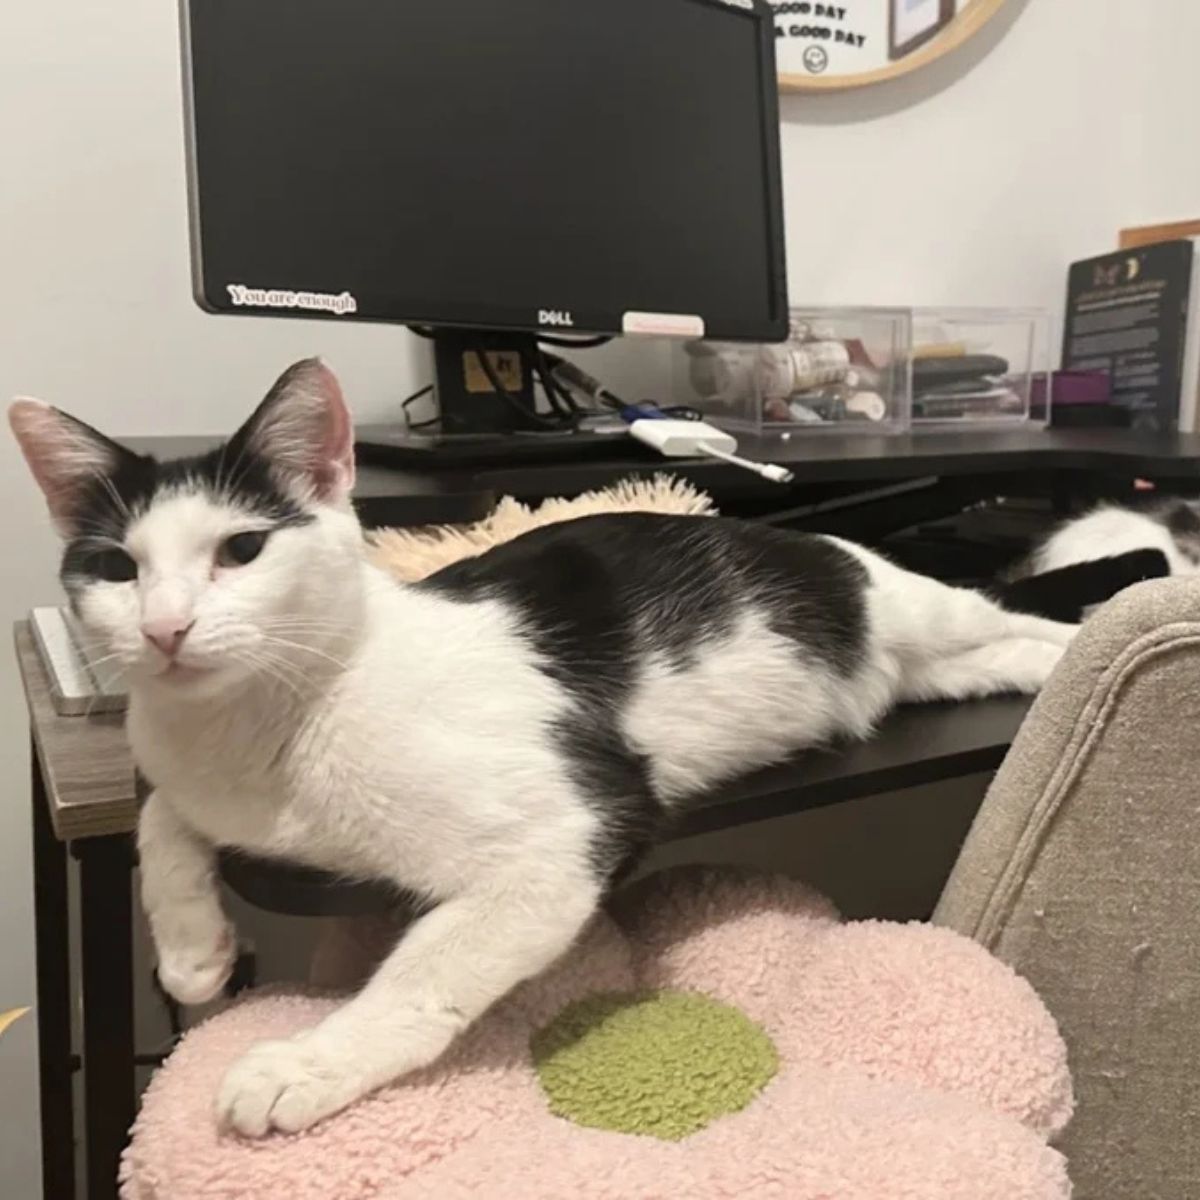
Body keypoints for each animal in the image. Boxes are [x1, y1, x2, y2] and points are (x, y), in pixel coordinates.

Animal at [9, 355, 1080, 1132]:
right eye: (115, 568)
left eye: (241, 550)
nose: (165, 631)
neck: (259, 727)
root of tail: (805, 535)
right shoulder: (181, 770)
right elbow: (161, 818)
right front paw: (194, 951)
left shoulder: (571, 832)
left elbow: (423, 975)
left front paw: (305, 1064)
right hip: (932, 671)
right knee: (998, 653)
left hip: (916, 612)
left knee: (1020, 622)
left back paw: (1104, 640)